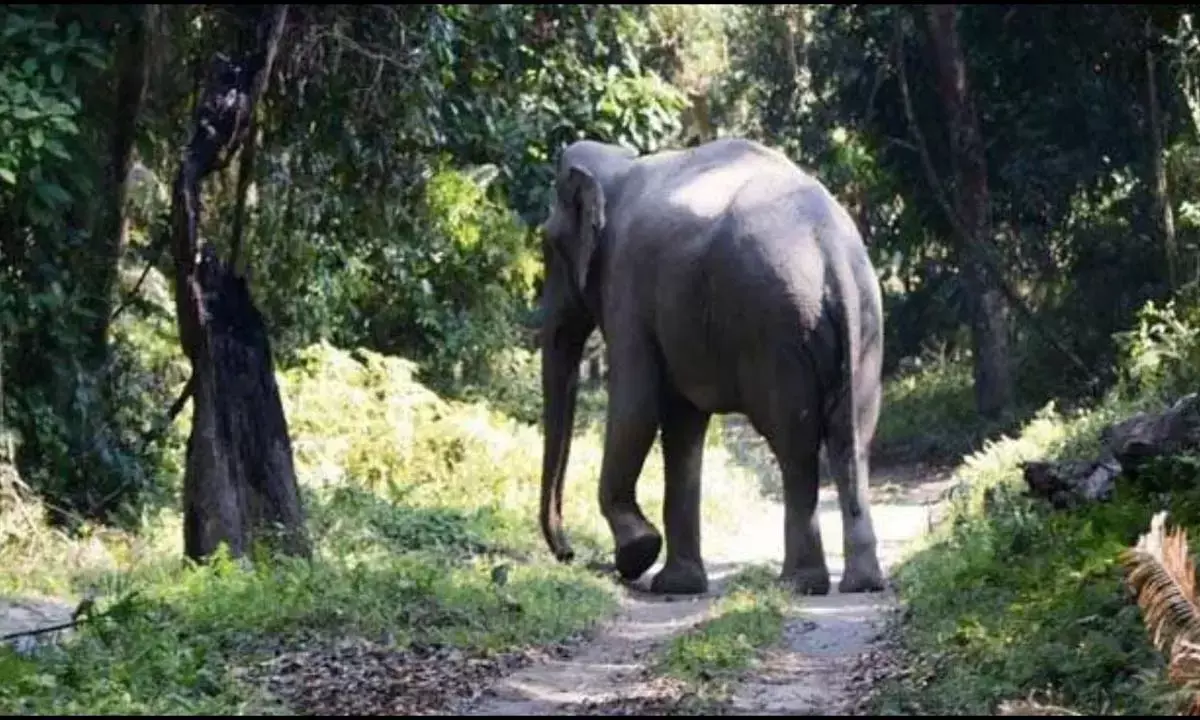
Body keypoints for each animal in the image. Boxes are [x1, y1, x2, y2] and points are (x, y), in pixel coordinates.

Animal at [536, 136, 886, 596]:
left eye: (547, 244)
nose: (569, 554)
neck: (619, 166)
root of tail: (833, 254)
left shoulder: (626, 285)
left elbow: (636, 408)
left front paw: (637, 552)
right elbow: (682, 425)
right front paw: (678, 584)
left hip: (775, 331)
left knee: (795, 446)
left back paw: (798, 584)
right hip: (865, 329)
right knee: (853, 440)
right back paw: (862, 583)